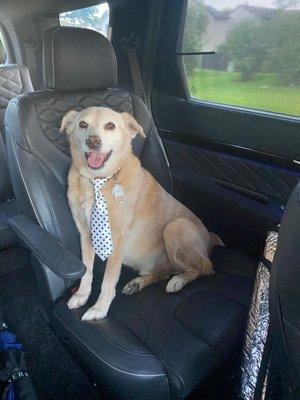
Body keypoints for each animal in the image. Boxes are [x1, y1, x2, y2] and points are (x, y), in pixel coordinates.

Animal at [59, 107, 223, 322]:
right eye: (83, 124)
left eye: (110, 125)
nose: (93, 141)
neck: (98, 181)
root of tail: (209, 238)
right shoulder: (86, 234)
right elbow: (86, 270)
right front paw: (81, 295)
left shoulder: (116, 239)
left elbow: (108, 280)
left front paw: (100, 308)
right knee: (164, 272)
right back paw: (138, 283)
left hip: (175, 227)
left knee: (203, 267)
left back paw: (178, 280)